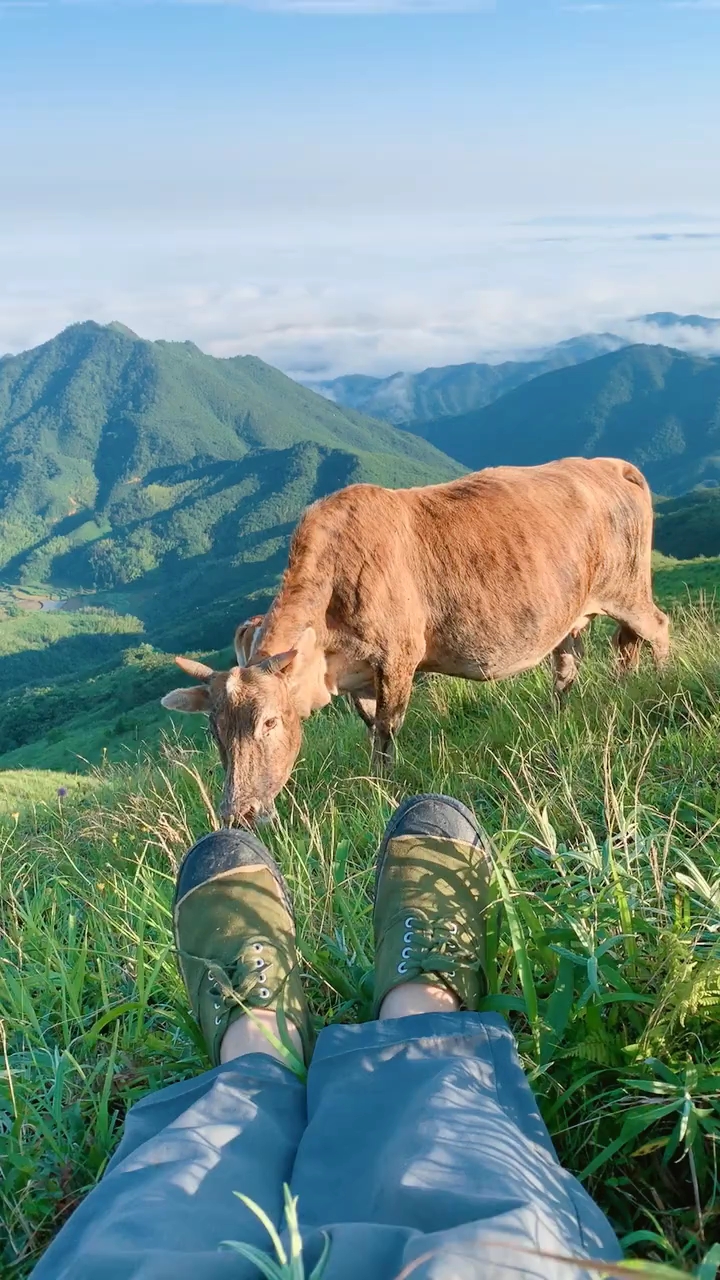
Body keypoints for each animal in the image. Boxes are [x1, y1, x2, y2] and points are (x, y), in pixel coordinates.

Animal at [162, 455, 666, 824]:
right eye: (214, 730)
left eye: (269, 722)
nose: (237, 813)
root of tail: (611, 464)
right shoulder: (360, 679)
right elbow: (371, 729)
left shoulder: (397, 659)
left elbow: (386, 732)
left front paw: (385, 787)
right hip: (568, 615)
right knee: (575, 662)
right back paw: (572, 710)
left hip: (627, 588)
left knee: (655, 629)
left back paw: (657, 686)